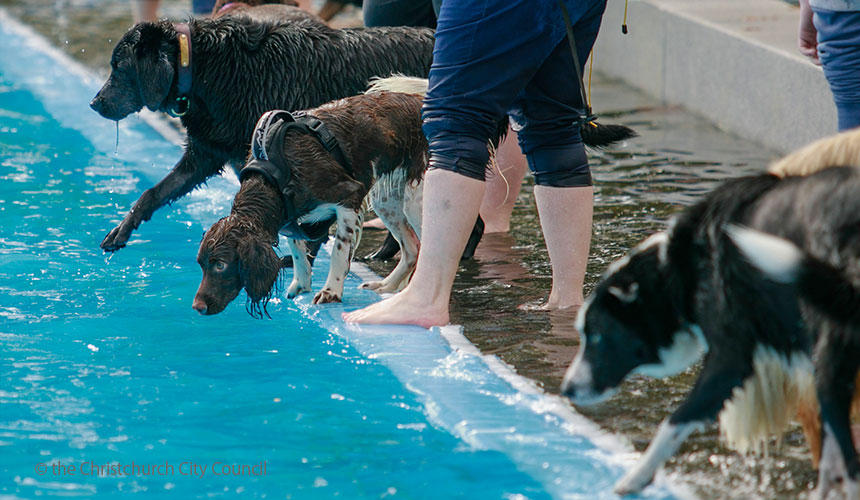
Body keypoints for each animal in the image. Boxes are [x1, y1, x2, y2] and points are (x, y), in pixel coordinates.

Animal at [90, 14, 434, 252]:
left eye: (119, 67)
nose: (94, 103)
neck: (208, 69)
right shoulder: (205, 153)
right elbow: (153, 193)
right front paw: (121, 229)